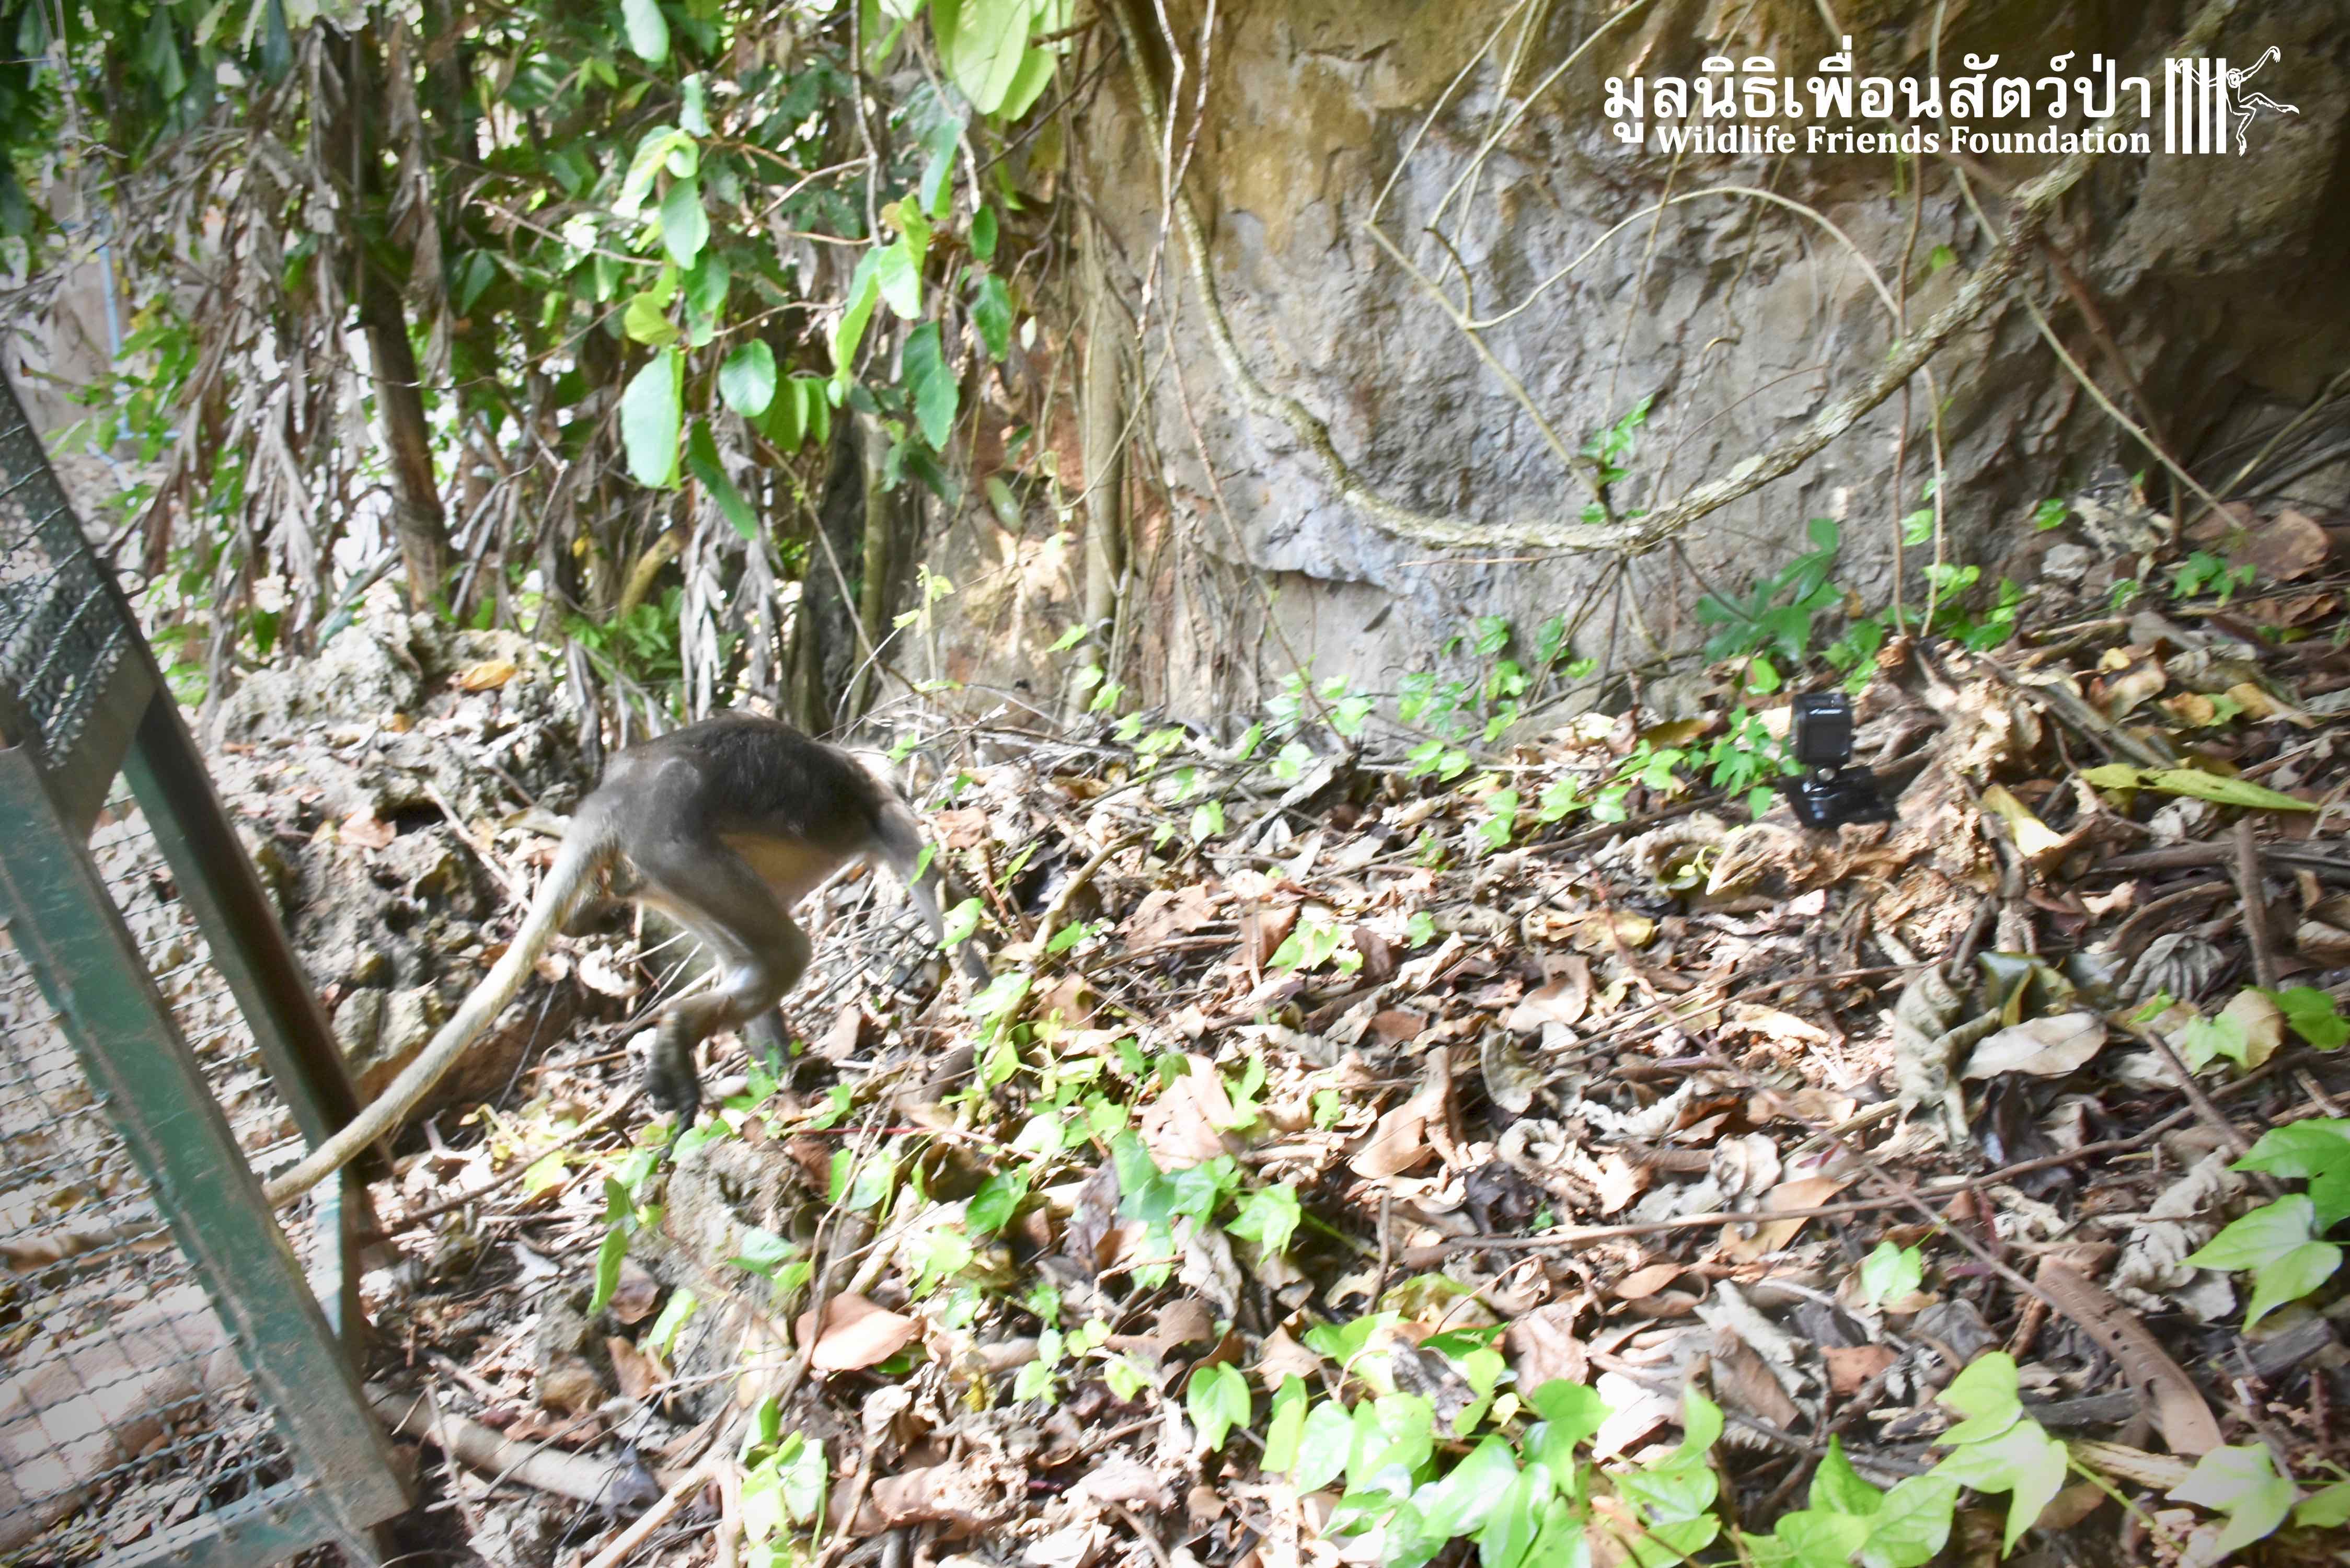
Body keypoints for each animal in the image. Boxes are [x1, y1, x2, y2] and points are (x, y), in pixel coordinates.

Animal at [264, 719, 982, 1213]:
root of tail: (620, 795)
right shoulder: (888, 812)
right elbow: (936, 892)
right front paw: (985, 987)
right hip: (676, 845)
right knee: (784, 954)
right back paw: (681, 1037)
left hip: (661, 871)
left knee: (747, 957)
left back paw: (726, 1062)